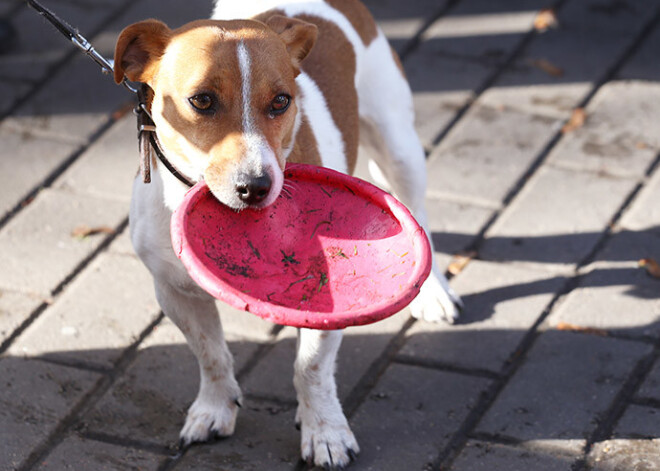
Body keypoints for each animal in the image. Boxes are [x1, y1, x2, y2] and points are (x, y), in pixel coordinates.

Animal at [113, 0, 462, 468]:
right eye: (201, 101)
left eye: (281, 102)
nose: (256, 186)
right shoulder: (175, 291)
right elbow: (211, 354)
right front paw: (214, 408)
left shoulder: (326, 306)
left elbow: (310, 368)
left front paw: (325, 432)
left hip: (398, 145)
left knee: (417, 213)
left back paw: (435, 291)